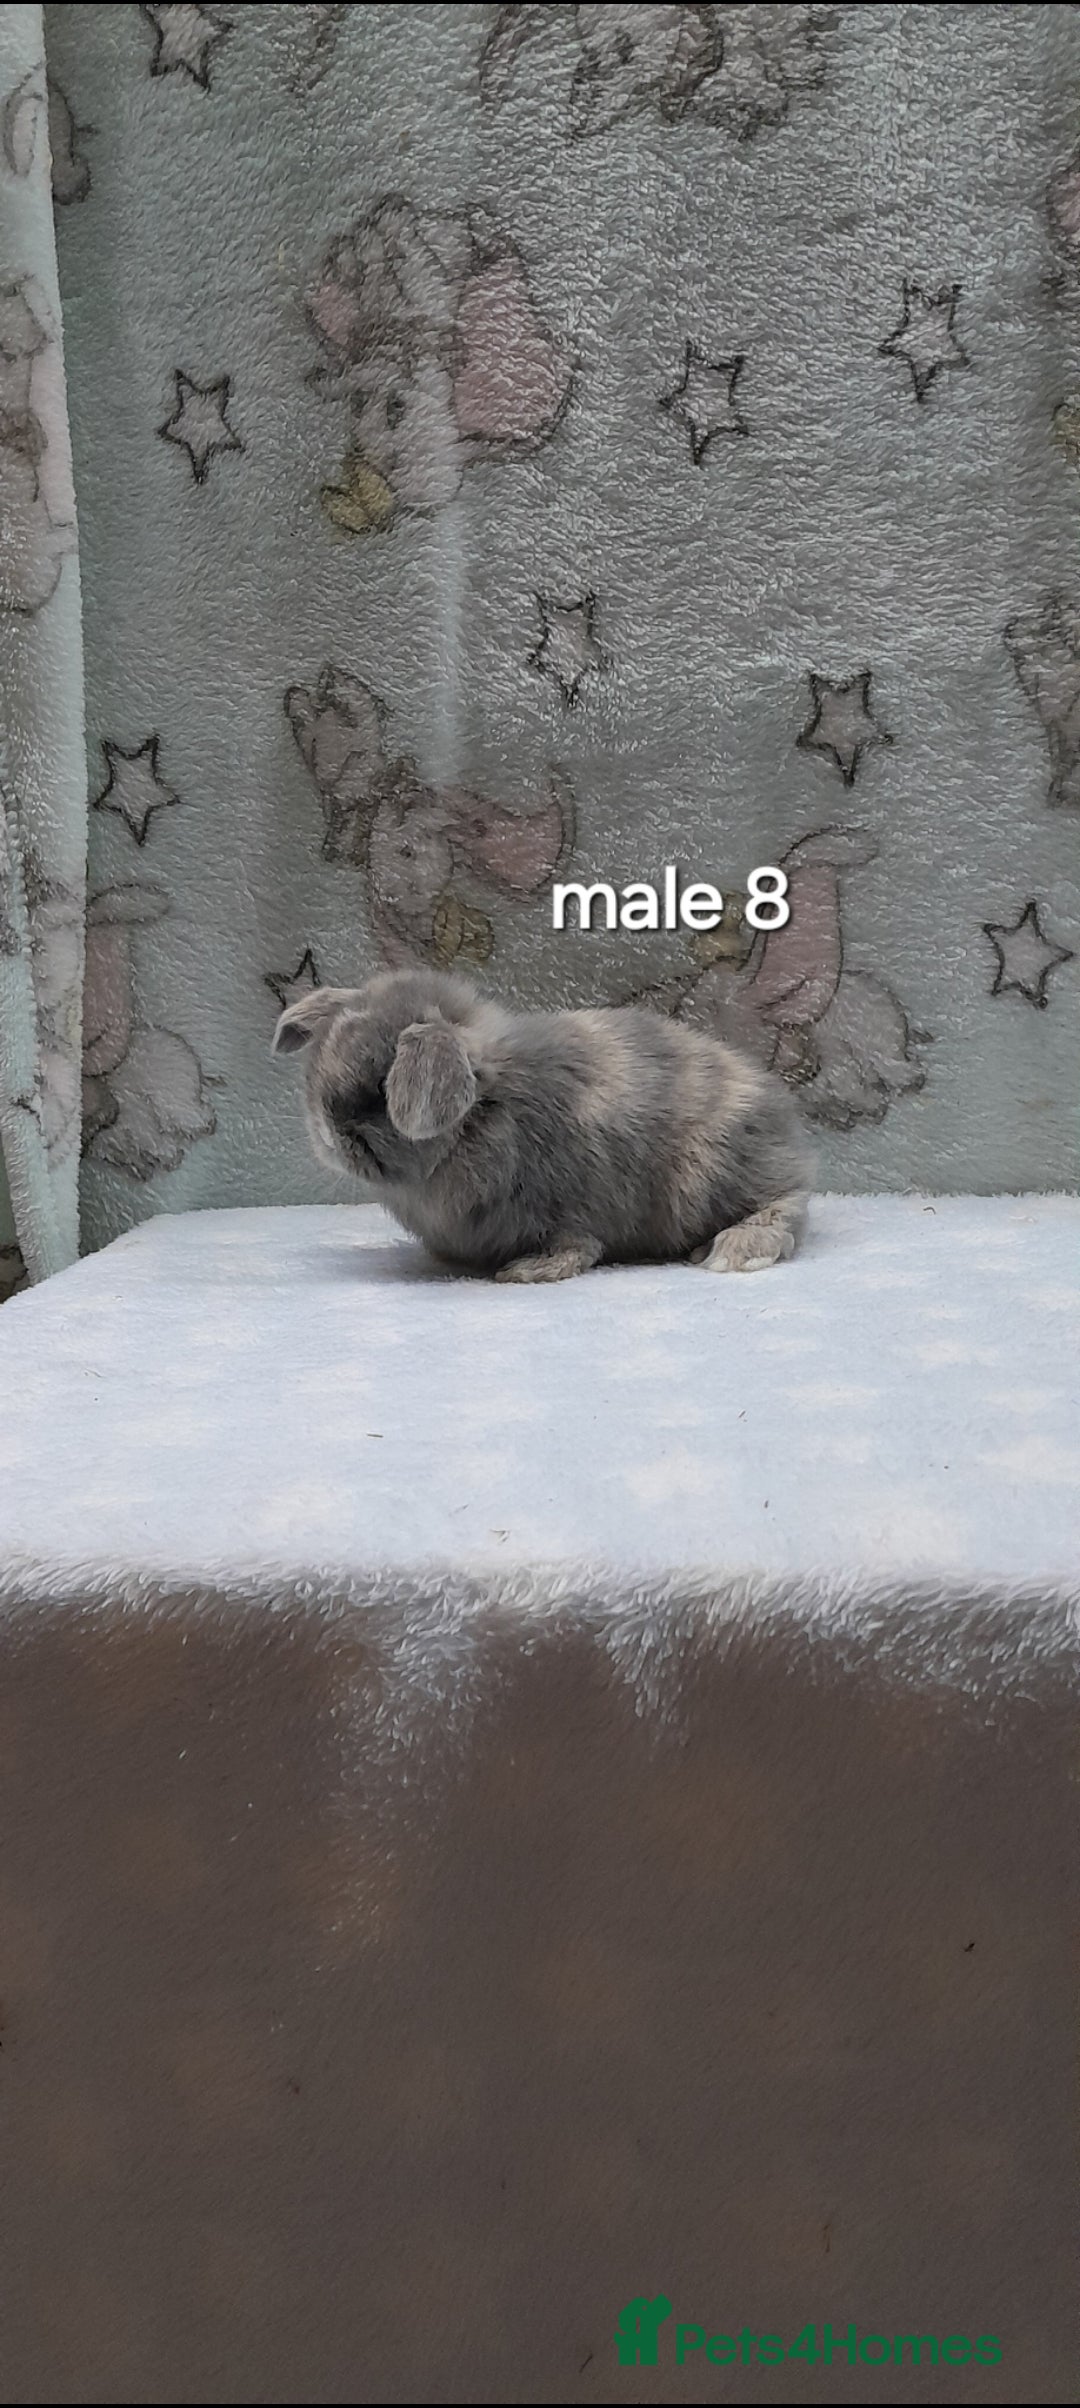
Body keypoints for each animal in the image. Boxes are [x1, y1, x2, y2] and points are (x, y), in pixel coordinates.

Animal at [272, 968, 812, 1280]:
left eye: (381, 1090)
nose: (327, 1133)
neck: (484, 1111)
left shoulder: (572, 1205)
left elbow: (578, 1246)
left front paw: (527, 1271)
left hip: (716, 1177)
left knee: (785, 1206)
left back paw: (732, 1251)